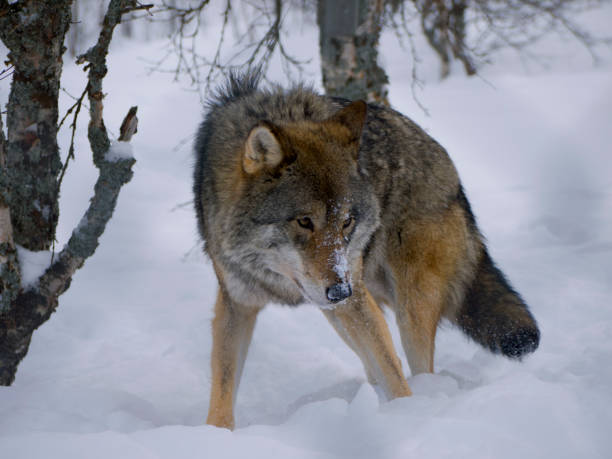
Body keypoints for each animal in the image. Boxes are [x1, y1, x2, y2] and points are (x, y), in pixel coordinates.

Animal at [194, 72, 536, 432]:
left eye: (347, 221)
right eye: (304, 221)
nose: (340, 290)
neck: (279, 277)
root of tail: (449, 166)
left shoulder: (354, 296)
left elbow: (392, 368)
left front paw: (407, 417)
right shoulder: (237, 304)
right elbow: (223, 386)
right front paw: (215, 435)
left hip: (407, 306)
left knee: (415, 364)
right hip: (340, 311)